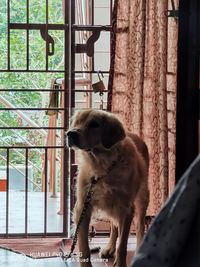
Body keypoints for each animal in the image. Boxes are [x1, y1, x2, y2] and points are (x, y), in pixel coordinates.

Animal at [67, 109, 150, 267]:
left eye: (94, 124)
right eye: (77, 122)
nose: (70, 134)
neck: (103, 167)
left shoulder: (127, 209)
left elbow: (122, 246)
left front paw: (121, 263)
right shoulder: (83, 207)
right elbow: (84, 247)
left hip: (142, 198)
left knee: (140, 225)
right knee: (114, 226)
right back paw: (109, 248)